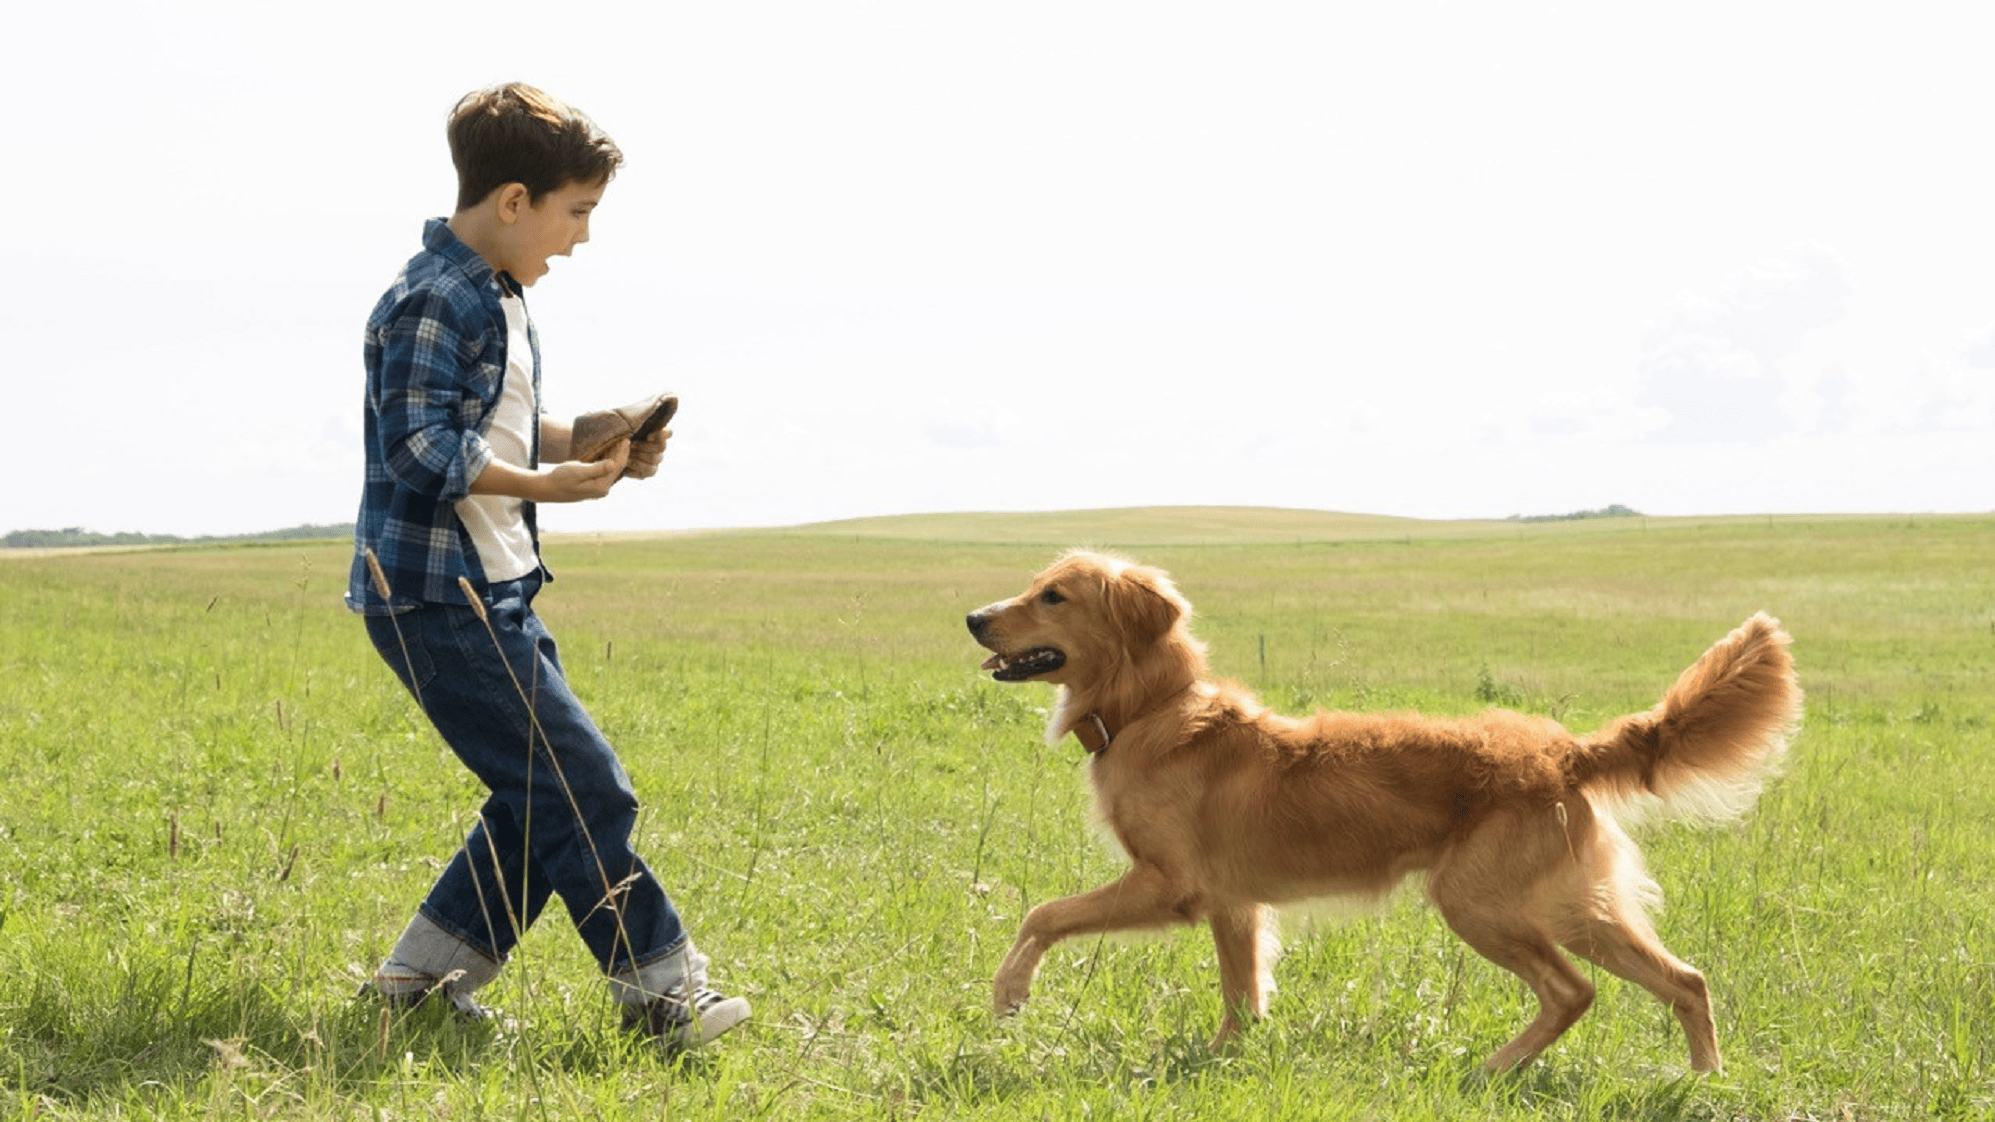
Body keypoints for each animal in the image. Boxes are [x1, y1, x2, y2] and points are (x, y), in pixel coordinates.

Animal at [957, 547, 1803, 1062]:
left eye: (1053, 595)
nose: (971, 617)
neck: (1150, 709)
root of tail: (1564, 752)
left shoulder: (1171, 886)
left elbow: (1040, 914)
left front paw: (1008, 996)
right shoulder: (1235, 904)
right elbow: (1242, 992)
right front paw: (1228, 1057)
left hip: (1482, 903)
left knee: (1574, 990)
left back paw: (1492, 1069)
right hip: (1569, 905)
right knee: (1682, 979)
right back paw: (1700, 1079)